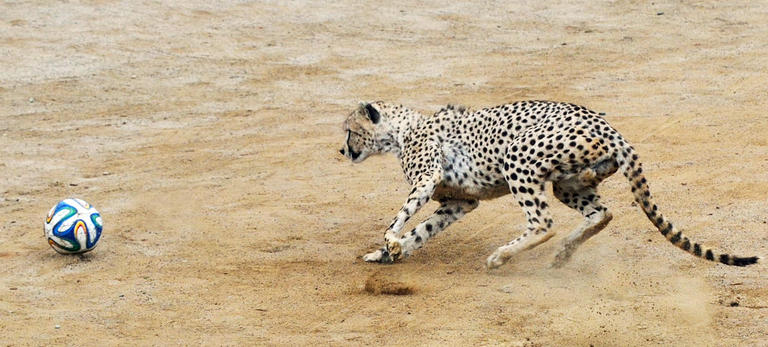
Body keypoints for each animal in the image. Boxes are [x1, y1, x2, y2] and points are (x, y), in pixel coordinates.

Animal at [342, 100, 760, 270]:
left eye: (349, 130)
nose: (342, 150)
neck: (403, 129)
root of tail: (605, 124)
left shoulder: (428, 180)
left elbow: (401, 218)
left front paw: (390, 242)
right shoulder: (459, 203)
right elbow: (423, 230)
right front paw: (387, 254)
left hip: (517, 157)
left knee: (543, 223)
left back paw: (502, 256)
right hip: (564, 181)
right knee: (601, 211)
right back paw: (565, 250)